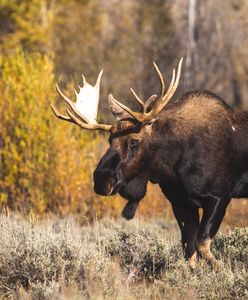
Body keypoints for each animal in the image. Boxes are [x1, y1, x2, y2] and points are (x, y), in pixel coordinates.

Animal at [50, 57, 248, 268]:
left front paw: (225, 270)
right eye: (110, 140)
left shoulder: (219, 196)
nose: (101, 179)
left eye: (133, 141)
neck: (172, 167)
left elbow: (202, 244)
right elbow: (189, 249)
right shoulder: (180, 202)